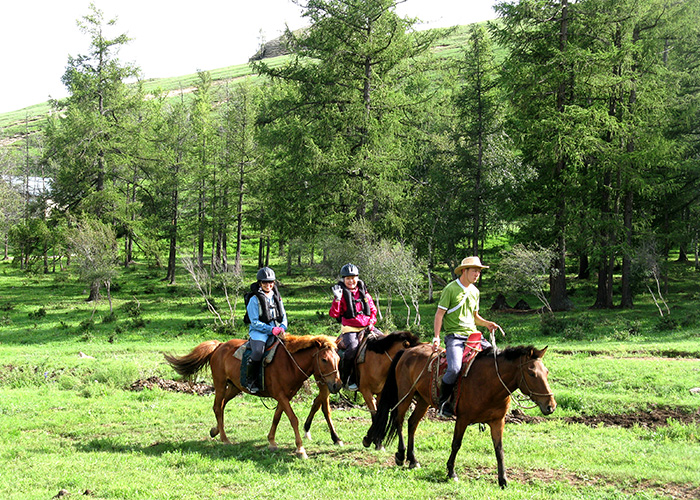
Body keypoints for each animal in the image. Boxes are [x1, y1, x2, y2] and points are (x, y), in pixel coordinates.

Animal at [164, 334, 340, 458]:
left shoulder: (285, 396)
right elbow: (293, 419)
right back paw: (225, 439)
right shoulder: (281, 396)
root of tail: (219, 346)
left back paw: (216, 431)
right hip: (220, 384)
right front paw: (300, 449)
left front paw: (271, 441)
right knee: (217, 407)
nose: (336, 385)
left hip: (234, 387)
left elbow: (277, 417)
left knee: (222, 405)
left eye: (338, 358)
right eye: (324, 359)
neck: (290, 363)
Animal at [364, 342, 556, 486]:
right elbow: (456, 444)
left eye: (546, 372)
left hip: (424, 400)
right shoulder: (463, 419)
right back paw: (401, 455)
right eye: (531, 373)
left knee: (412, 423)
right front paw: (451, 472)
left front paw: (503, 480)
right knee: (399, 420)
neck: (490, 382)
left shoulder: (497, 421)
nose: (550, 406)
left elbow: (499, 449)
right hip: (406, 394)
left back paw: (413, 459)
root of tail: (408, 351)